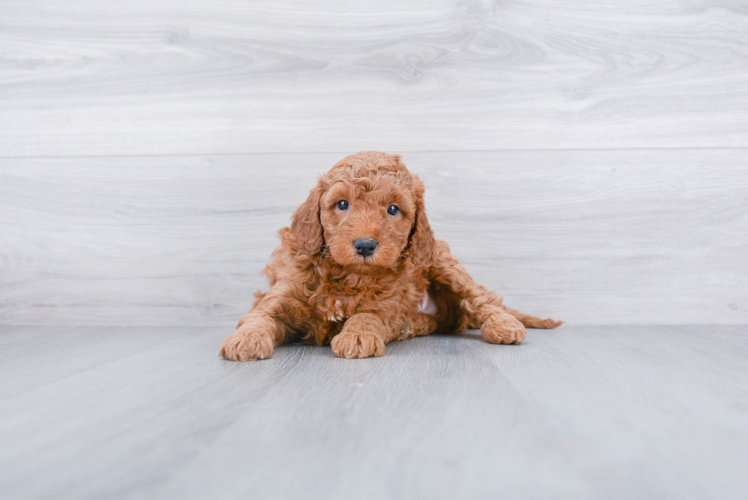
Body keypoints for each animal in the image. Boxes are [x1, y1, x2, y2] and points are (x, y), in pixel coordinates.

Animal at [219, 150, 560, 362]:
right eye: (342, 204)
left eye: (393, 209)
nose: (365, 245)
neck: (347, 276)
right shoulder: (283, 292)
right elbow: (261, 316)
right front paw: (244, 339)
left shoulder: (387, 303)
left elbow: (368, 315)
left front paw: (357, 336)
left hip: (441, 261)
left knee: (480, 298)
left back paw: (503, 325)